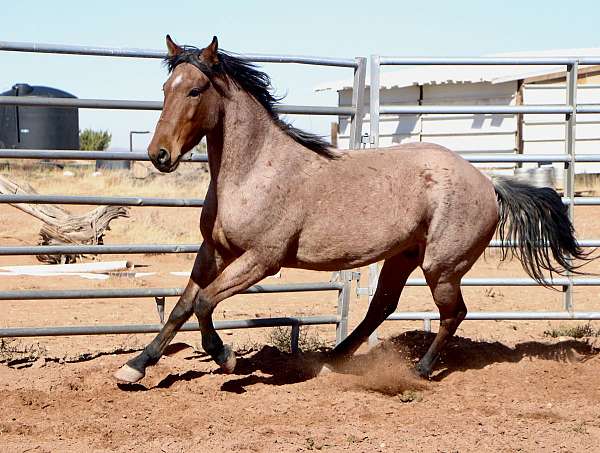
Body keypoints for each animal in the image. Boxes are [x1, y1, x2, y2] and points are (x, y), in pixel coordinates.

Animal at [113, 35, 592, 384]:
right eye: (165, 89)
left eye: (195, 90)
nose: (159, 155)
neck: (253, 171)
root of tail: (488, 182)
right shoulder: (214, 250)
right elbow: (182, 306)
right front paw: (135, 367)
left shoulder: (262, 260)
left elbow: (205, 302)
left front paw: (225, 357)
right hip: (404, 256)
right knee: (382, 306)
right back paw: (333, 357)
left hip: (442, 266)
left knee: (453, 313)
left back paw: (418, 371)